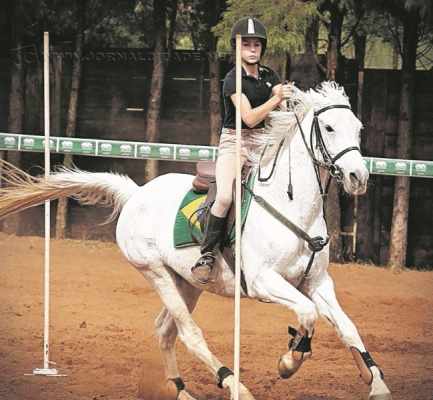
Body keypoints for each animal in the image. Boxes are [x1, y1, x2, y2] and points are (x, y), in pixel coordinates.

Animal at [0, 82, 392, 400]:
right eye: (328, 127)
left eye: (357, 128)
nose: (358, 177)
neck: (291, 205)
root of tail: (136, 194)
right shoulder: (265, 282)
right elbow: (308, 315)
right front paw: (289, 360)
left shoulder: (318, 282)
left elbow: (347, 327)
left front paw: (375, 381)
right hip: (156, 272)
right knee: (189, 334)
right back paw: (233, 384)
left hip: (186, 281)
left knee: (165, 331)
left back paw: (181, 389)